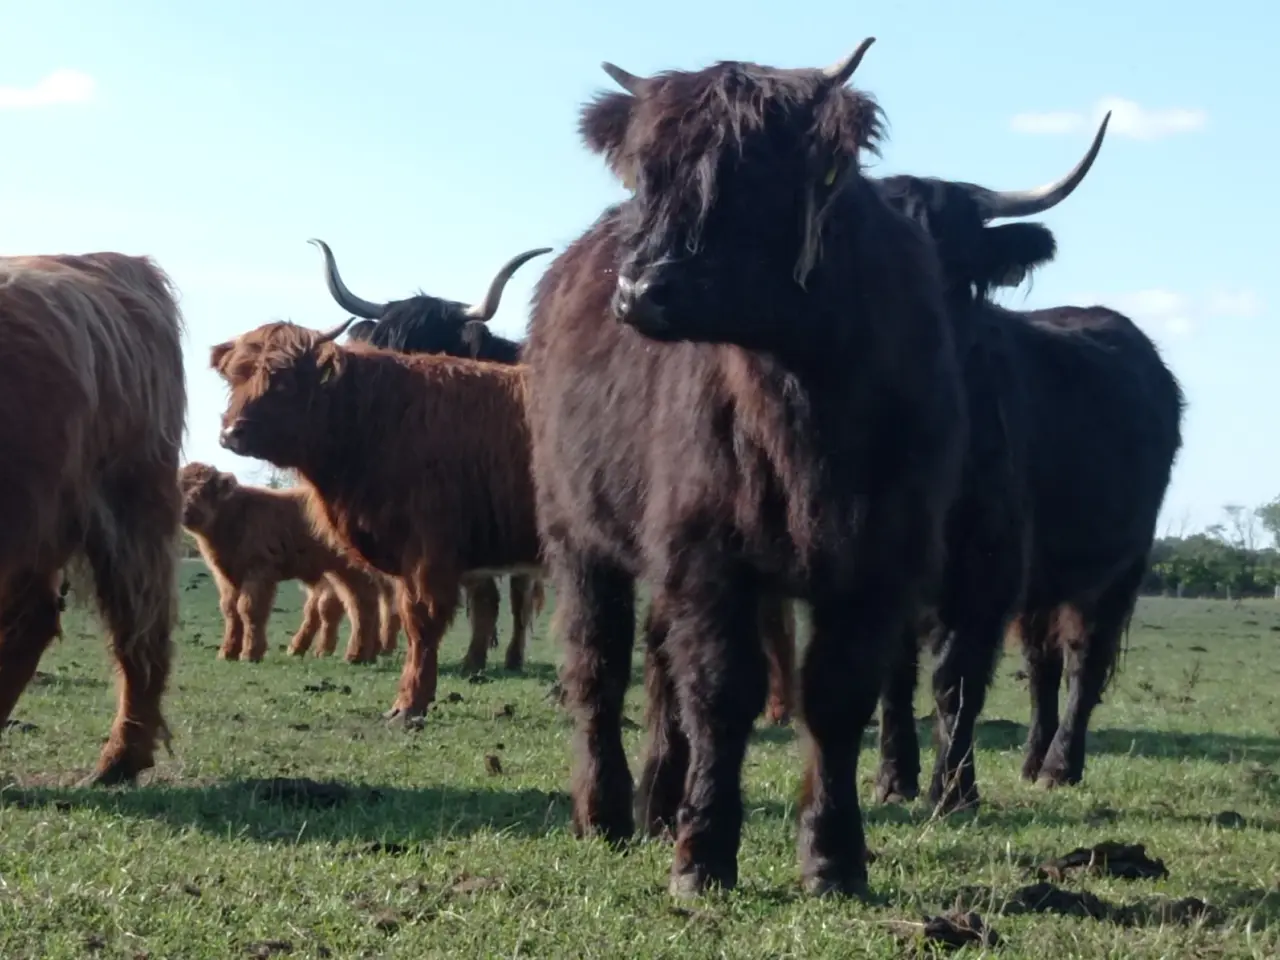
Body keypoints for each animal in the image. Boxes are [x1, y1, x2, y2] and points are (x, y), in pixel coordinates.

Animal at [179, 462, 385, 663]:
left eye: (203, 490)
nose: (185, 512)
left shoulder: (259, 570)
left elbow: (249, 609)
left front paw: (250, 653)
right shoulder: (227, 576)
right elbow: (230, 610)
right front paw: (227, 652)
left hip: (351, 569)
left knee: (361, 603)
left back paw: (355, 655)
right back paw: (368, 653)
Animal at [212, 320, 542, 723]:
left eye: (284, 381)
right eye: (235, 376)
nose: (231, 433)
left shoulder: (428, 553)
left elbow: (421, 622)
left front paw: (409, 705)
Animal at [522, 41, 967, 898]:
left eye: (752, 173)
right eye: (648, 175)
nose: (641, 288)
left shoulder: (881, 563)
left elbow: (834, 698)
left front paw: (834, 858)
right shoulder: (707, 552)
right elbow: (722, 695)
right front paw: (703, 858)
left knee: (659, 667)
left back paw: (660, 804)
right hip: (575, 532)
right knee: (600, 666)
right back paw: (607, 811)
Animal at [867, 113, 1184, 806]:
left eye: (959, 272)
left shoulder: (983, 575)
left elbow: (955, 680)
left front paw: (953, 789)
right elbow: (892, 677)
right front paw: (894, 779)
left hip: (1116, 569)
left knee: (1083, 661)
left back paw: (1062, 765)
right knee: (1042, 663)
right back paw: (1033, 761)